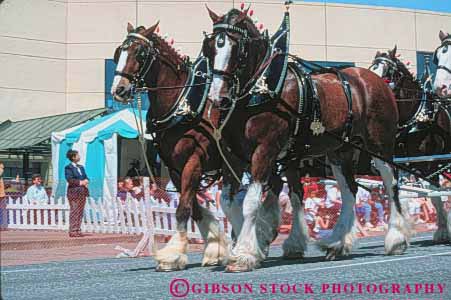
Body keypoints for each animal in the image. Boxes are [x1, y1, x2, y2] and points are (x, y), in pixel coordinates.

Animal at [111, 22, 247, 272]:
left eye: (140, 53)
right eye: (119, 52)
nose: (119, 89)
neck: (182, 106)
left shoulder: (194, 161)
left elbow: (183, 208)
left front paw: (171, 256)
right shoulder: (175, 169)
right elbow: (194, 208)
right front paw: (214, 249)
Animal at [205, 7, 414, 272]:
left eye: (238, 49)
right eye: (211, 47)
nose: (218, 98)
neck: (261, 91)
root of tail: (375, 80)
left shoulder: (265, 151)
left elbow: (250, 202)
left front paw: (244, 254)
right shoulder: (233, 156)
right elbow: (227, 202)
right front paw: (251, 245)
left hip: (379, 146)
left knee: (391, 183)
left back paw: (396, 239)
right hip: (340, 151)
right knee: (349, 190)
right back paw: (337, 243)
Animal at [370, 46, 451, 244]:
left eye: (387, 72)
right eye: (371, 69)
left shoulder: (428, 163)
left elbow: (433, 193)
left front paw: (443, 230)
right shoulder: (400, 164)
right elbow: (401, 192)